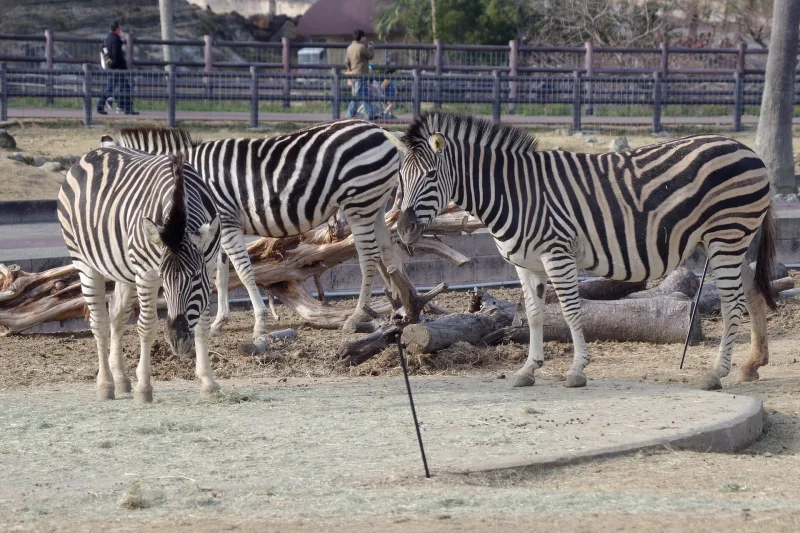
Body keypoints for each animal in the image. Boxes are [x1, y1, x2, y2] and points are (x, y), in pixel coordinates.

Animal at [58, 147, 221, 403]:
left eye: (195, 276)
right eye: (163, 278)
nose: (176, 339)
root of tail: (92, 153)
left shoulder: (210, 267)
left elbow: (203, 326)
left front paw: (208, 382)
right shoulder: (146, 274)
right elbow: (147, 327)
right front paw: (144, 388)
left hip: (124, 271)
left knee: (116, 315)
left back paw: (121, 379)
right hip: (84, 261)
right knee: (99, 322)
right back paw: (105, 385)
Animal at [114, 120, 406, 353]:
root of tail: (381, 130)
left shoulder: (226, 221)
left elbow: (243, 272)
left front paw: (259, 325)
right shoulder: (215, 230)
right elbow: (220, 277)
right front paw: (219, 321)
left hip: (359, 203)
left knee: (368, 256)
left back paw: (356, 317)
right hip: (376, 203)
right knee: (387, 247)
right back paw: (400, 307)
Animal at [396, 113, 776, 391]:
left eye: (432, 175)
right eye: (399, 177)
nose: (404, 229)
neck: (515, 192)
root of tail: (748, 150)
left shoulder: (557, 254)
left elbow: (570, 311)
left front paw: (577, 370)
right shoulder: (526, 264)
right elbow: (532, 314)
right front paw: (528, 370)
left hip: (726, 236)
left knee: (732, 304)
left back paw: (716, 374)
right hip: (735, 242)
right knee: (753, 293)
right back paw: (751, 365)